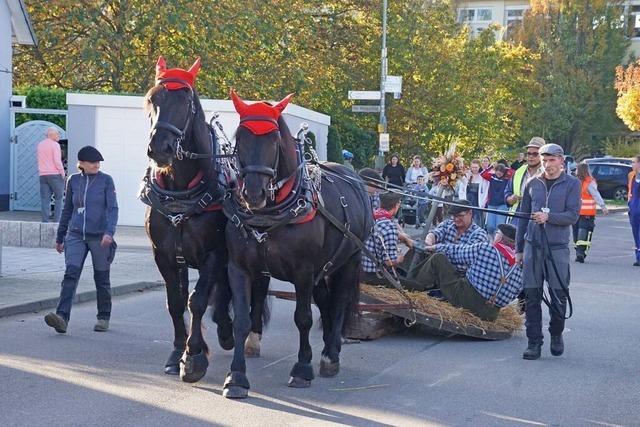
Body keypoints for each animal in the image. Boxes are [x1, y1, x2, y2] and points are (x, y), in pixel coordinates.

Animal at [143, 58, 270, 382]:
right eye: (152, 98)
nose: (159, 148)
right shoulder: (164, 254)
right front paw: (178, 352)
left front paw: (194, 356)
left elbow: (197, 300)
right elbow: (176, 302)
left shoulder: (214, 253)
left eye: (186, 101)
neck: (181, 189)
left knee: (256, 291)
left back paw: (250, 338)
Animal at [220, 92, 372, 400]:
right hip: (323, 268)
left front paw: (302, 369)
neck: (271, 213)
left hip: (349, 260)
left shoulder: (303, 271)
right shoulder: (239, 267)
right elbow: (241, 319)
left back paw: (330, 354)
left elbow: (302, 318)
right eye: (240, 137)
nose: (253, 193)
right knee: (325, 300)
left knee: (339, 301)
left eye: (274, 139)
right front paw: (236, 376)